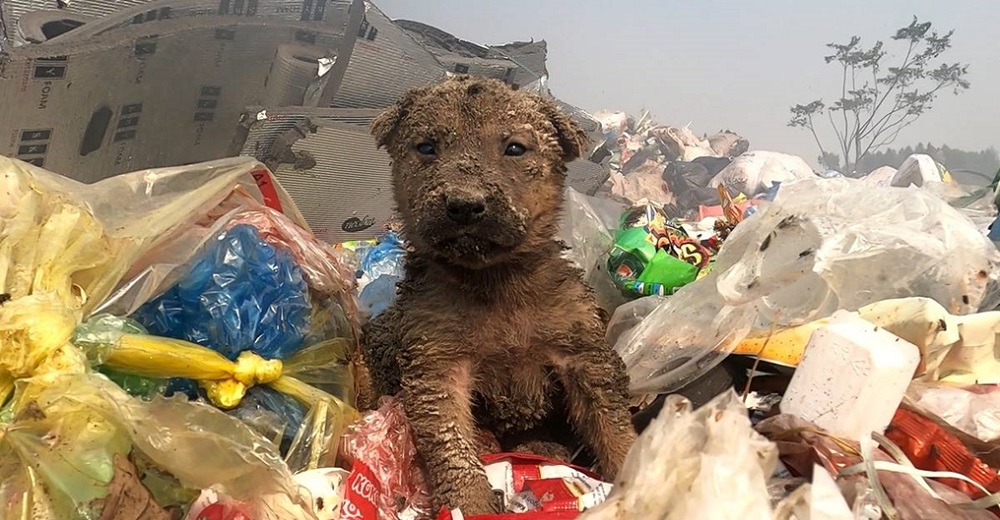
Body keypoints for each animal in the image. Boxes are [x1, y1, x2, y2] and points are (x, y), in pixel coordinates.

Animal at [366, 77, 632, 516]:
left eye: (515, 148)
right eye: (427, 147)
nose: (464, 205)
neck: (494, 281)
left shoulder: (581, 350)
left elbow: (611, 421)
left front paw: (638, 466)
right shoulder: (437, 362)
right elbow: (451, 444)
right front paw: (469, 505)